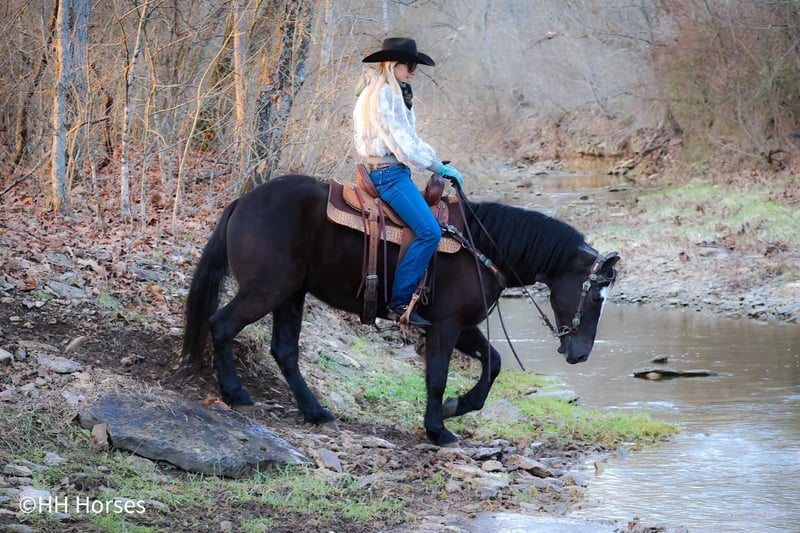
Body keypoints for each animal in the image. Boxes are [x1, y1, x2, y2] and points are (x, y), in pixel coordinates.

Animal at [180, 173, 620, 446]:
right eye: (597, 297)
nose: (580, 355)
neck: (481, 246)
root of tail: (242, 201)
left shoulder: (462, 326)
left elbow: (492, 363)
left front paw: (457, 408)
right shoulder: (445, 326)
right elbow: (437, 378)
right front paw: (438, 430)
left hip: (291, 295)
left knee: (285, 352)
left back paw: (316, 412)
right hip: (266, 291)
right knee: (221, 325)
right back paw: (236, 393)